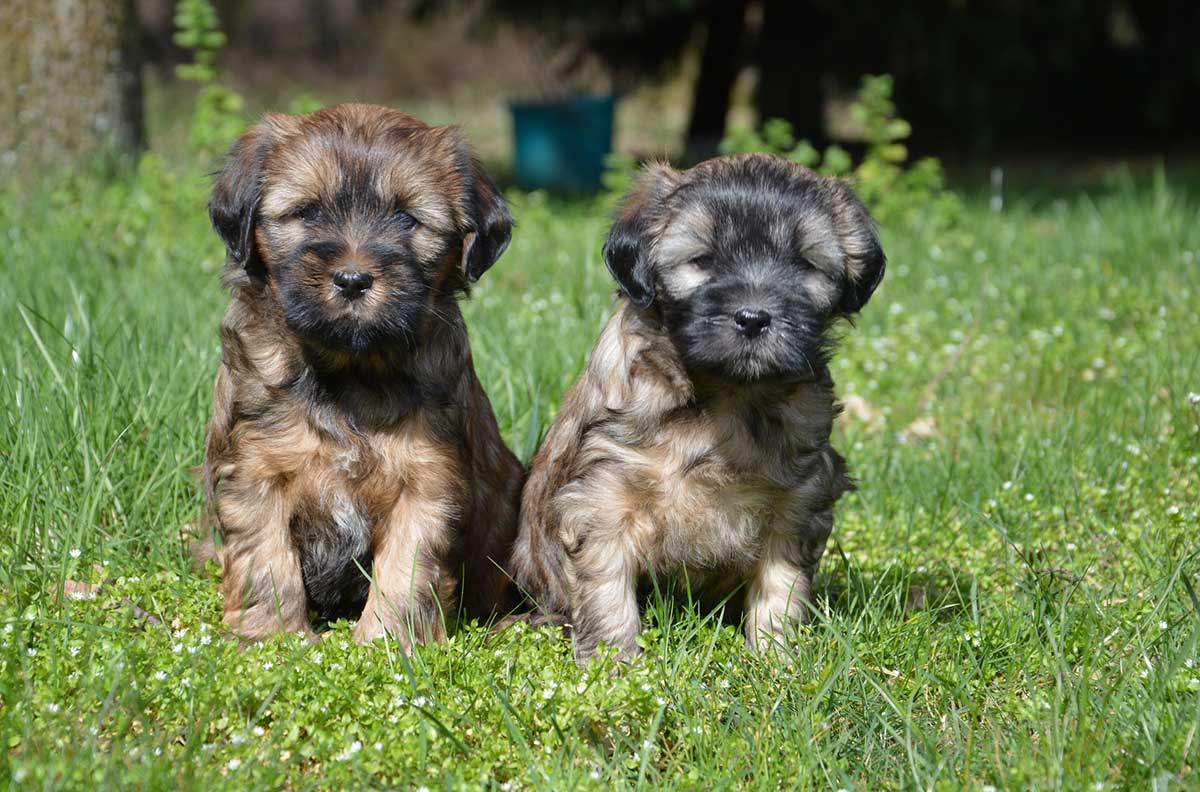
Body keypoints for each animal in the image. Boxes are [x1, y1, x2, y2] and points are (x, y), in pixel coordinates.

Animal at [200, 102, 520, 648]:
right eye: (307, 212)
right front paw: (271, 640)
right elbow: (266, 560)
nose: (352, 279)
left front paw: (388, 646)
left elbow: (406, 570)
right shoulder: (255, 470)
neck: (351, 372)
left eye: (407, 219)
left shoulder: (427, 482)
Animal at [511, 150, 888, 662]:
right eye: (702, 261)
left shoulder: (797, 502)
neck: (726, 395)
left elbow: (781, 587)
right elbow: (606, 587)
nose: (753, 317)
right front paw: (614, 664)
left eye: (802, 265)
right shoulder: (602, 496)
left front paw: (775, 658)